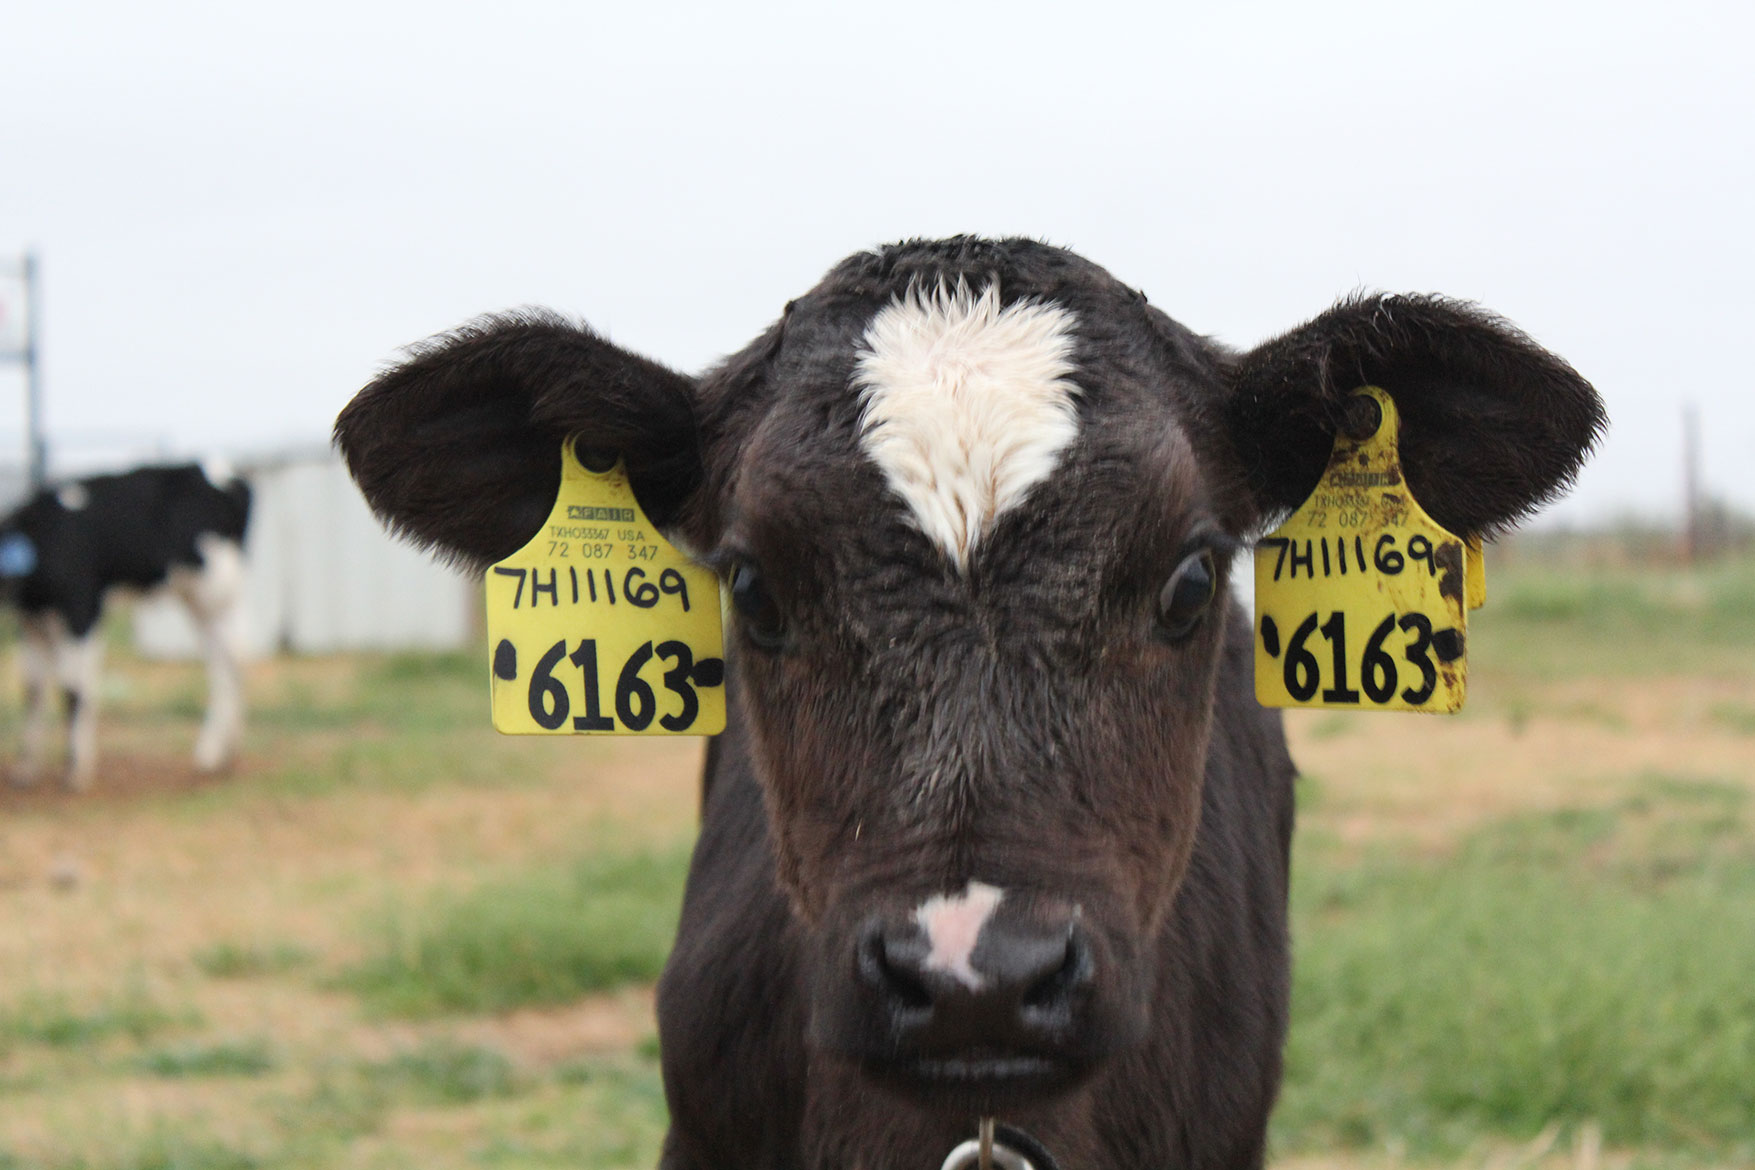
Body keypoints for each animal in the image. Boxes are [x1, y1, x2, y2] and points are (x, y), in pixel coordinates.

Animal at [0, 463, 250, 792]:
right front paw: (26, 770)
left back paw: (220, 752)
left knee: (234, 656)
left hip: (216, 591)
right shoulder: (31, 625)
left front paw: (75, 770)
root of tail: (222, 470)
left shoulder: (82, 611)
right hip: (197, 598)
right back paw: (219, 754)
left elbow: (74, 691)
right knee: (219, 662)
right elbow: (33, 691)